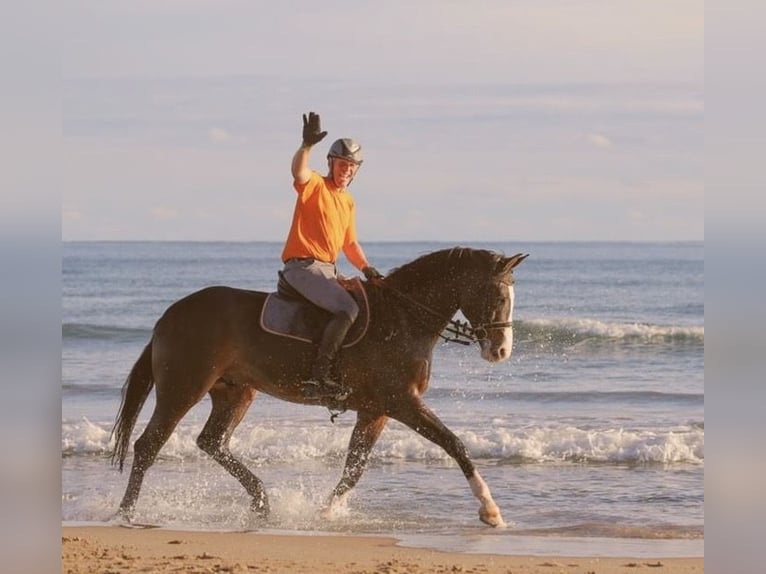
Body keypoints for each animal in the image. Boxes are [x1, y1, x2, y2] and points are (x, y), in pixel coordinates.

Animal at [110, 247, 528, 527]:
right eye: (499, 296)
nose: (501, 351)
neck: (404, 316)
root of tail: (169, 315)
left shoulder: (375, 412)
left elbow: (354, 469)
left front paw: (327, 511)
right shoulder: (402, 403)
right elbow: (455, 444)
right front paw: (490, 510)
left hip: (236, 392)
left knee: (212, 442)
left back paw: (261, 501)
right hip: (183, 388)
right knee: (148, 446)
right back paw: (125, 513)